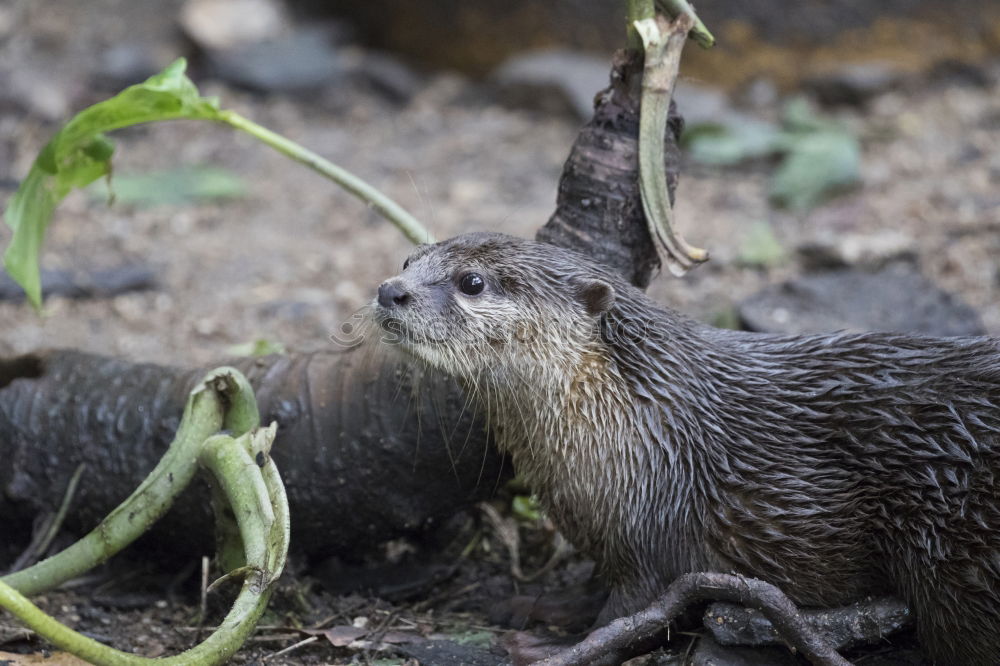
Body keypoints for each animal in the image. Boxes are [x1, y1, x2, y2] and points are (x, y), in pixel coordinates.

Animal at [372, 231, 1000, 660]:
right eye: (408, 261)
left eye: (472, 281)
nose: (389, 290)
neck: (651, 432)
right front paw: (539, 605)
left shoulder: (655, 527)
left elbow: (631, 614)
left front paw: (552, 646)